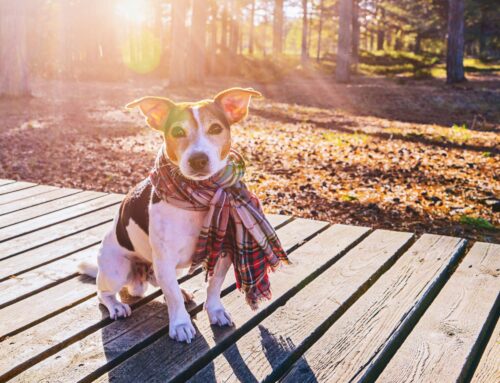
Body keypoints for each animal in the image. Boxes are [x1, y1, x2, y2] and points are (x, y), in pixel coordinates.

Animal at [78, 88, 262, 344]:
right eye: (177, 131)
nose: (198, 159)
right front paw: (181, 324)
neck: (198, 199)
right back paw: (115, 306)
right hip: (117, 269)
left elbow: (213, 286)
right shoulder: (164, 259)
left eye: (216, 128)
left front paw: (215, 310)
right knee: (102, 293)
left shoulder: (223, 251)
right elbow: (172, 296)